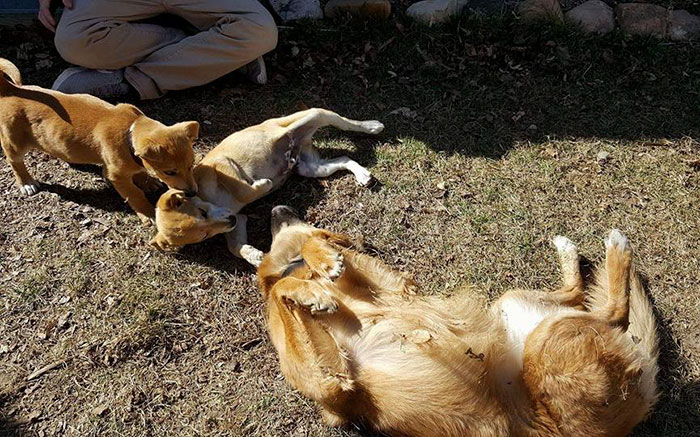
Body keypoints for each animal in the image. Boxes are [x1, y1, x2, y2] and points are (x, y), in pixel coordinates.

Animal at [0, 57, 198, 225]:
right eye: (169, 172)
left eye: (191, 165)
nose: (192, 193)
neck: (129, 130)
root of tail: (10, 90)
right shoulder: (117, 176)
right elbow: (135, 194)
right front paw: (148, 212)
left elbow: (138, 170)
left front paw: (146, 180)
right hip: (14, 142)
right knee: (15, 161)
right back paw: (26, 183)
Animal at [150, 109, 386, 266]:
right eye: (204, 235)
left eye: (202, 212)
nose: (229, 220)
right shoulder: (238, 220)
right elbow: (234, 247)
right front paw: (254, 255)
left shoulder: (224, 165)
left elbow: (244, 189)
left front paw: (264, 184)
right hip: (311, 168)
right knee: (344, 158)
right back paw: (362, 175)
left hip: (310, 118)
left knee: (343, 122)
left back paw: (372, 126)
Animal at [258, 206, 660, 434]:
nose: (276, 207)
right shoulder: (331, 385)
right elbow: (282, 289)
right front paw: (314, 288)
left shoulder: (393, 287)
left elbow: (309, 255)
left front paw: (323, 260)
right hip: (543, 333)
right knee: (606, 310)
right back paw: (609, 248)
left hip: (527, 315)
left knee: (599, 306)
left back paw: (596, 249)